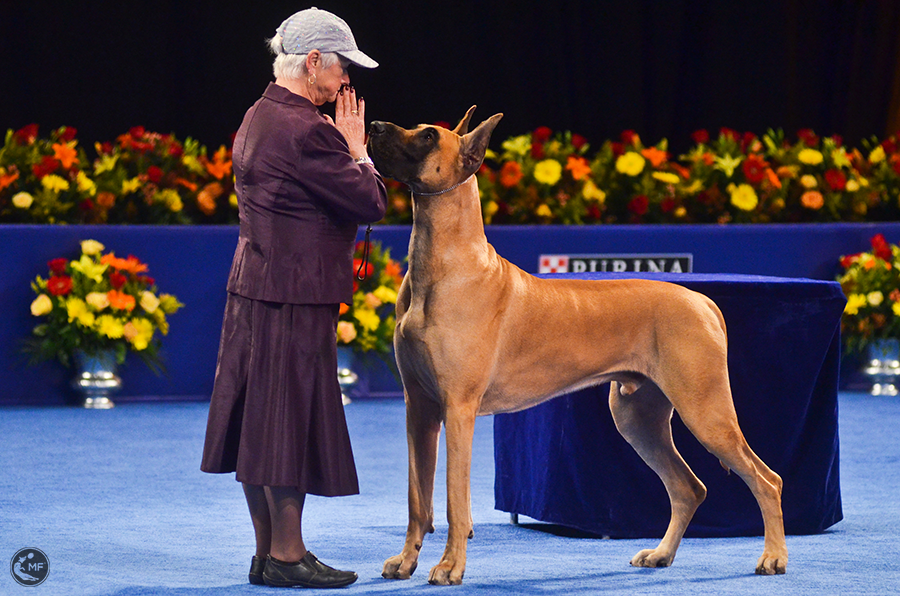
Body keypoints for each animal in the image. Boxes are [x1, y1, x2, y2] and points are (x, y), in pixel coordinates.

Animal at [366, 108, 788, 588]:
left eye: (429, 136)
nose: (374, 127)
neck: (441, 263)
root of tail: (702, 300)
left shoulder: (458, 408)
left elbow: (456, 499)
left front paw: (450, 566)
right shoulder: (418, 408)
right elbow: (417, 498)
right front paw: (406, 561)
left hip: (706, 410)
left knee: (766, 479)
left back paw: (773, 557)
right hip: (637, 417)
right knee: (688, 487)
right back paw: (661, 554)